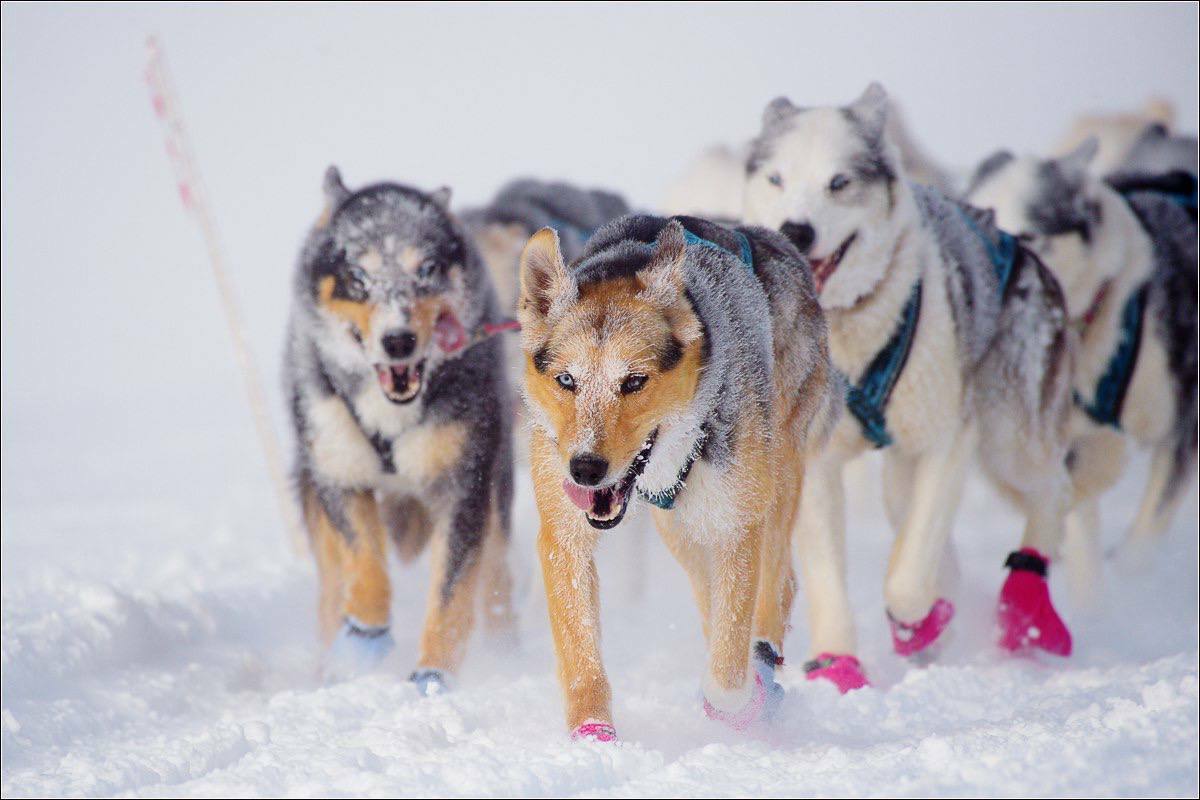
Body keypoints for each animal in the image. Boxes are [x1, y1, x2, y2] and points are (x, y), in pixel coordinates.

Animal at [290, 169, 520, 695]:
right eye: (358, 276)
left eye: (427, 269)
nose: (398, 340)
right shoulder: (340, 474)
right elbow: (365, 564)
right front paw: (363, 638)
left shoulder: (463, 487)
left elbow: (452, 593)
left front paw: (433, 676)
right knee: (332, 586)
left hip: (496, 487)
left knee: (496, 574)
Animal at [739, 86, 1080, 690]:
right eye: (777, 178)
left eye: (839, 182)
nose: (796, 229)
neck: (847, 333)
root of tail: (1017, 242)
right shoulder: (813, 461)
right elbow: (830, 576)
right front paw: (837, 662)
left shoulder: (948, 441)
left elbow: (908, 576)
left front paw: (917, 621)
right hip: (908, 468)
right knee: (916, 518)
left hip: (1009, 439)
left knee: (1051, 491)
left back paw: (1023, 606)